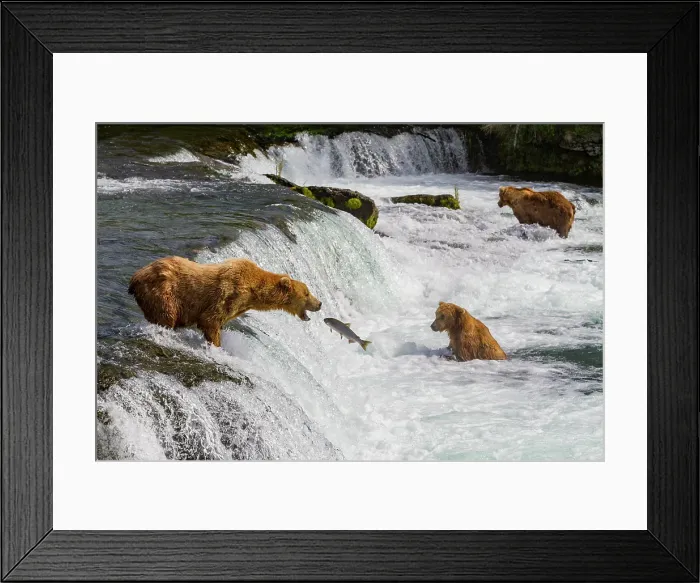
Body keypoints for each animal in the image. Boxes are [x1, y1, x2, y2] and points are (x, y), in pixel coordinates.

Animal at [128, 256, 322, 347]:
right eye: (306, 293)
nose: (319, 303)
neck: (253, 292)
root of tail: (135, 277)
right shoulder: (231, 292)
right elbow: (210, 320)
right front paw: (216, 345)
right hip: (163, 292)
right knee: (166, 315)